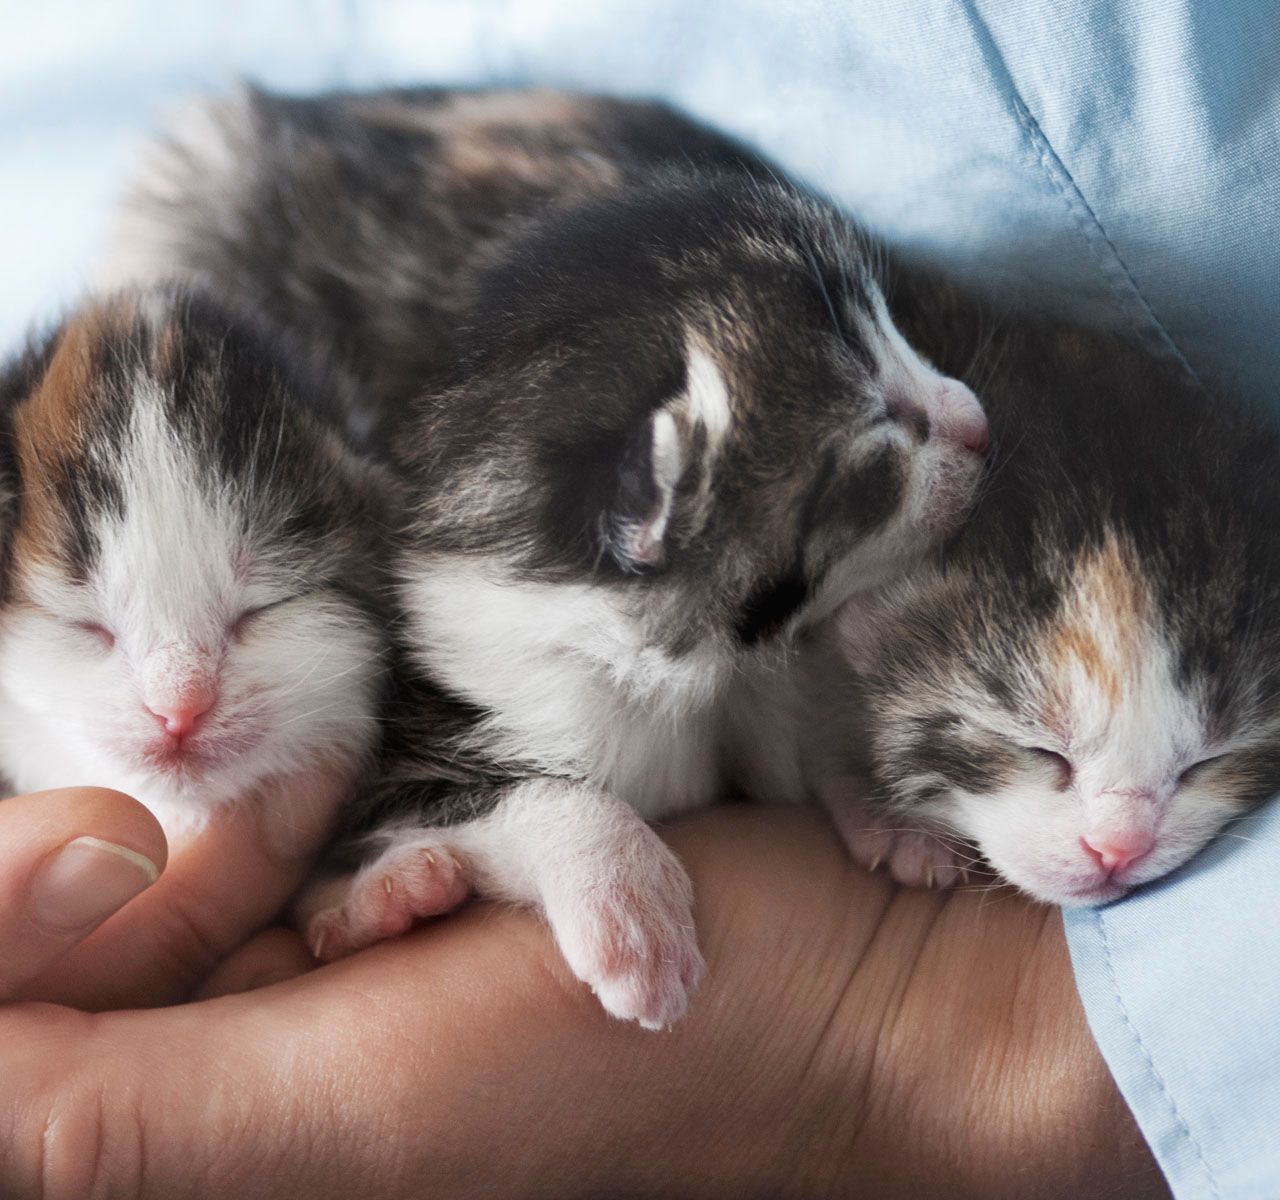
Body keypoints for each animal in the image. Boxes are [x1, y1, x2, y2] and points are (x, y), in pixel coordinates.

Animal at [110, 88, 988, 1023]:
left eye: (896, 335)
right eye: (881, 437)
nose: (977, 420)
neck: (694, 679)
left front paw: (886, 804)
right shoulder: (396, 745)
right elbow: (528, 792)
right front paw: (629, 909)